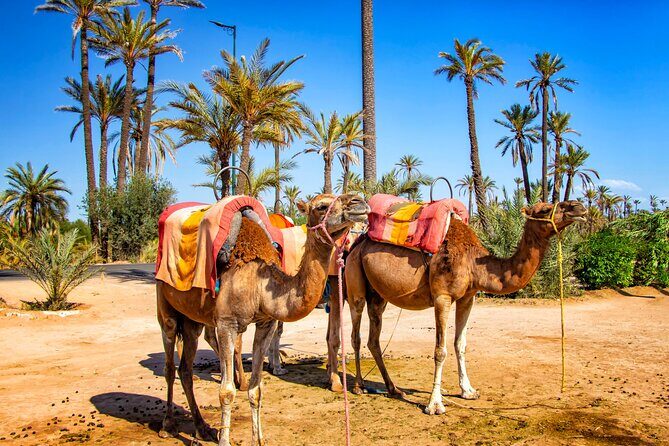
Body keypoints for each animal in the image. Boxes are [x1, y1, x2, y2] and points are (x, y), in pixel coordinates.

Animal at [156, 193, 369, 446]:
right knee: (170, 363)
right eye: (321, 206)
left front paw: (258, 439)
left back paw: (202, 428)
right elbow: (226, 391)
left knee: (186, 369)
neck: (259, 284)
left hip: (191, 319)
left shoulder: (265, 322)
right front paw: (224, 440)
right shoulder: (227, 323)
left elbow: (256, 389)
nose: (359, 202)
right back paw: (168, 425)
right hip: (165, 304)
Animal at [334, 200, 586, 415]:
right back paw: (358, 386)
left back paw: (394, 388)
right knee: (356, 334)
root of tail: (356, 243)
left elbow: (460, 344)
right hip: (355, 282)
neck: (474, 262)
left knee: (373, 339)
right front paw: (435, 404)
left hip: (378, 295)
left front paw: (468, 391)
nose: (579, 207)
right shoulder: (442, 296)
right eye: (545, 209)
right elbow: (440, 350)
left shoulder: (468, 298)